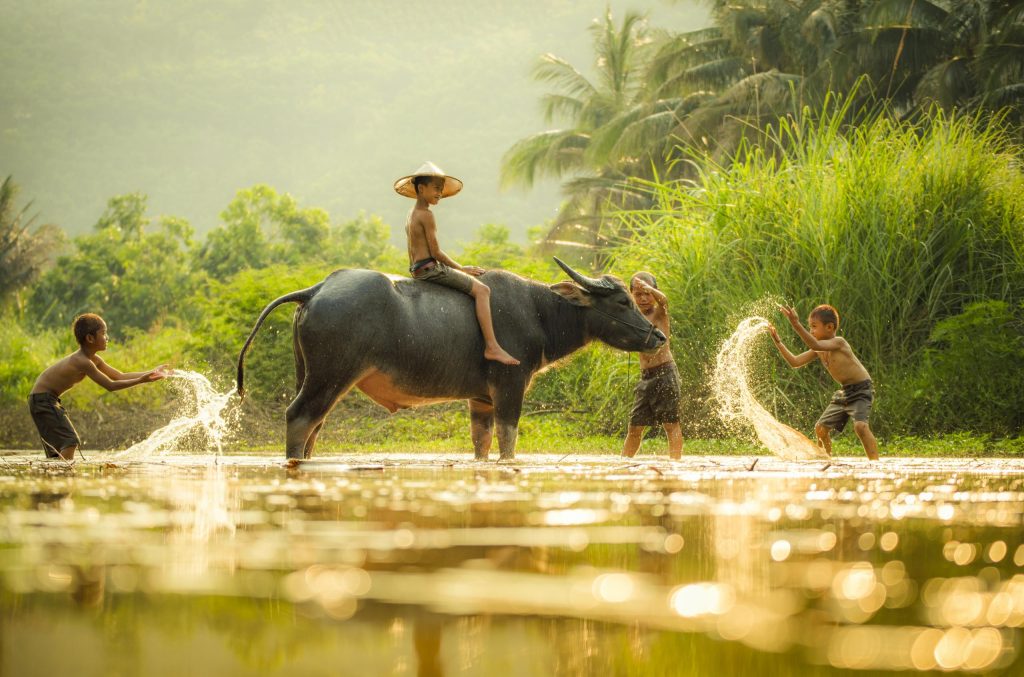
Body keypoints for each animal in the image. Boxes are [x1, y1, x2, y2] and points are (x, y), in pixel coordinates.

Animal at [239, 259, 671, 458]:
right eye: (623, 301)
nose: (658, 336)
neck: (538, 312)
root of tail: (317, 289)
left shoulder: (480, 398)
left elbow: (481, 443)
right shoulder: (509, 386)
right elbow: (508, 442)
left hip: (308, 373)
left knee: (315, 424)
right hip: (330, 375)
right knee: (300, 417)